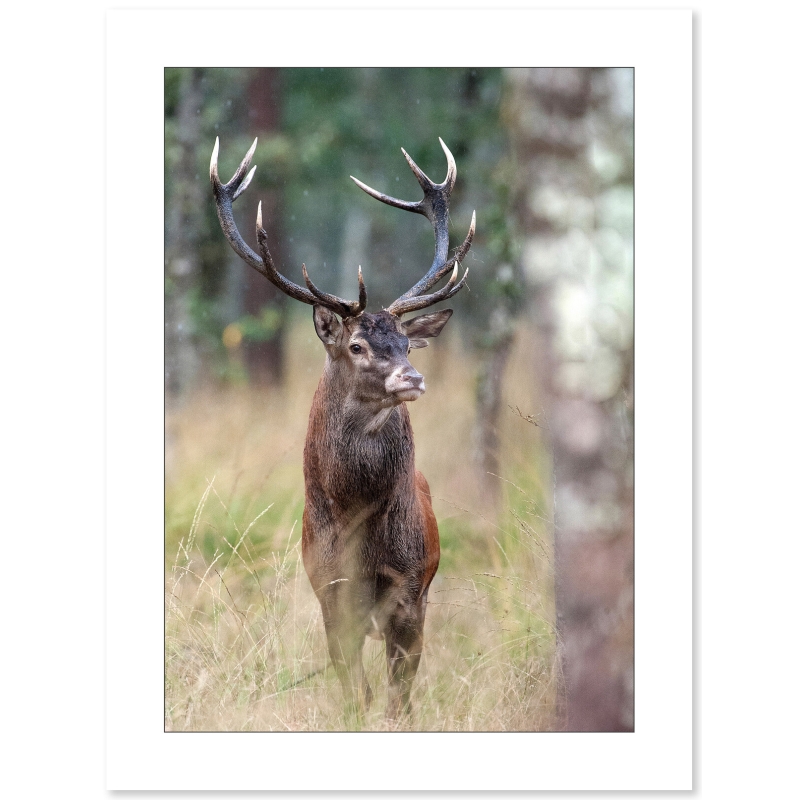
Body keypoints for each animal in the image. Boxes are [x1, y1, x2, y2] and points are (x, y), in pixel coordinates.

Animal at [210, 136, 475, 719]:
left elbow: (398, 700)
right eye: (356, 345)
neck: (360, 528)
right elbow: (355, 692)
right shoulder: (331, 594)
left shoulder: (410, 593)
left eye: (406, 342)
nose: (413, 376)